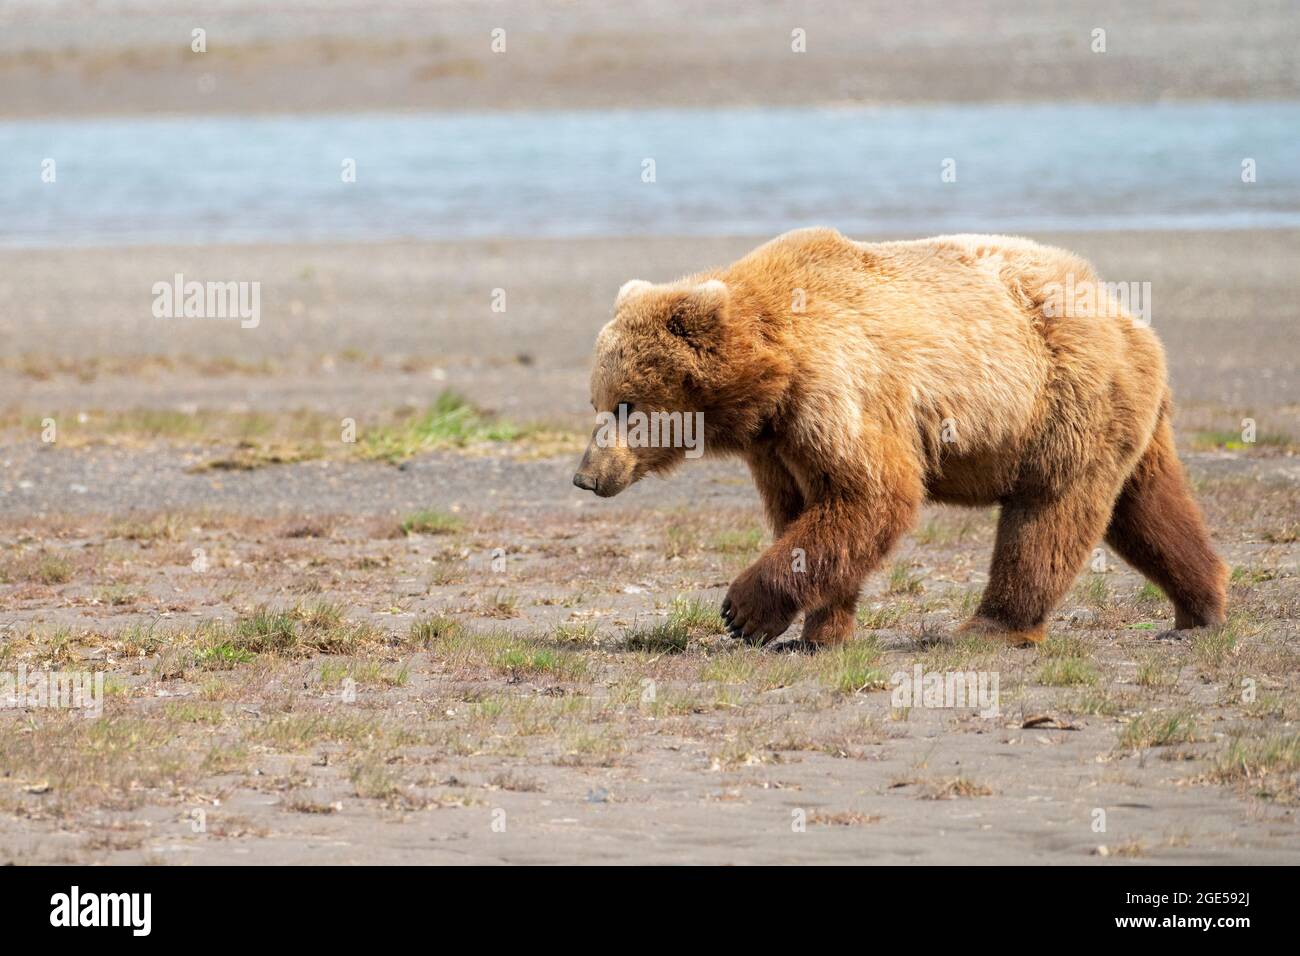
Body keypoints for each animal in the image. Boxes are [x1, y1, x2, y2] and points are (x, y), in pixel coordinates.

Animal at [572, 227, 1227, 647]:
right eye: (596, 402)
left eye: (625, 405)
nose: (585, 476)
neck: (769, 376)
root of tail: (1128, 315)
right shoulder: (780, 443)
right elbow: (809, 514)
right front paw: (820, 630)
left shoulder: (841, 391)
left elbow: (870, 495)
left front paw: (743, 612)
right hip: (1123, 417)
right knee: (1148, 506)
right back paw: (1202, 603)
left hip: (1062, 400)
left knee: (1047, 516)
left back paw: (992, 625)